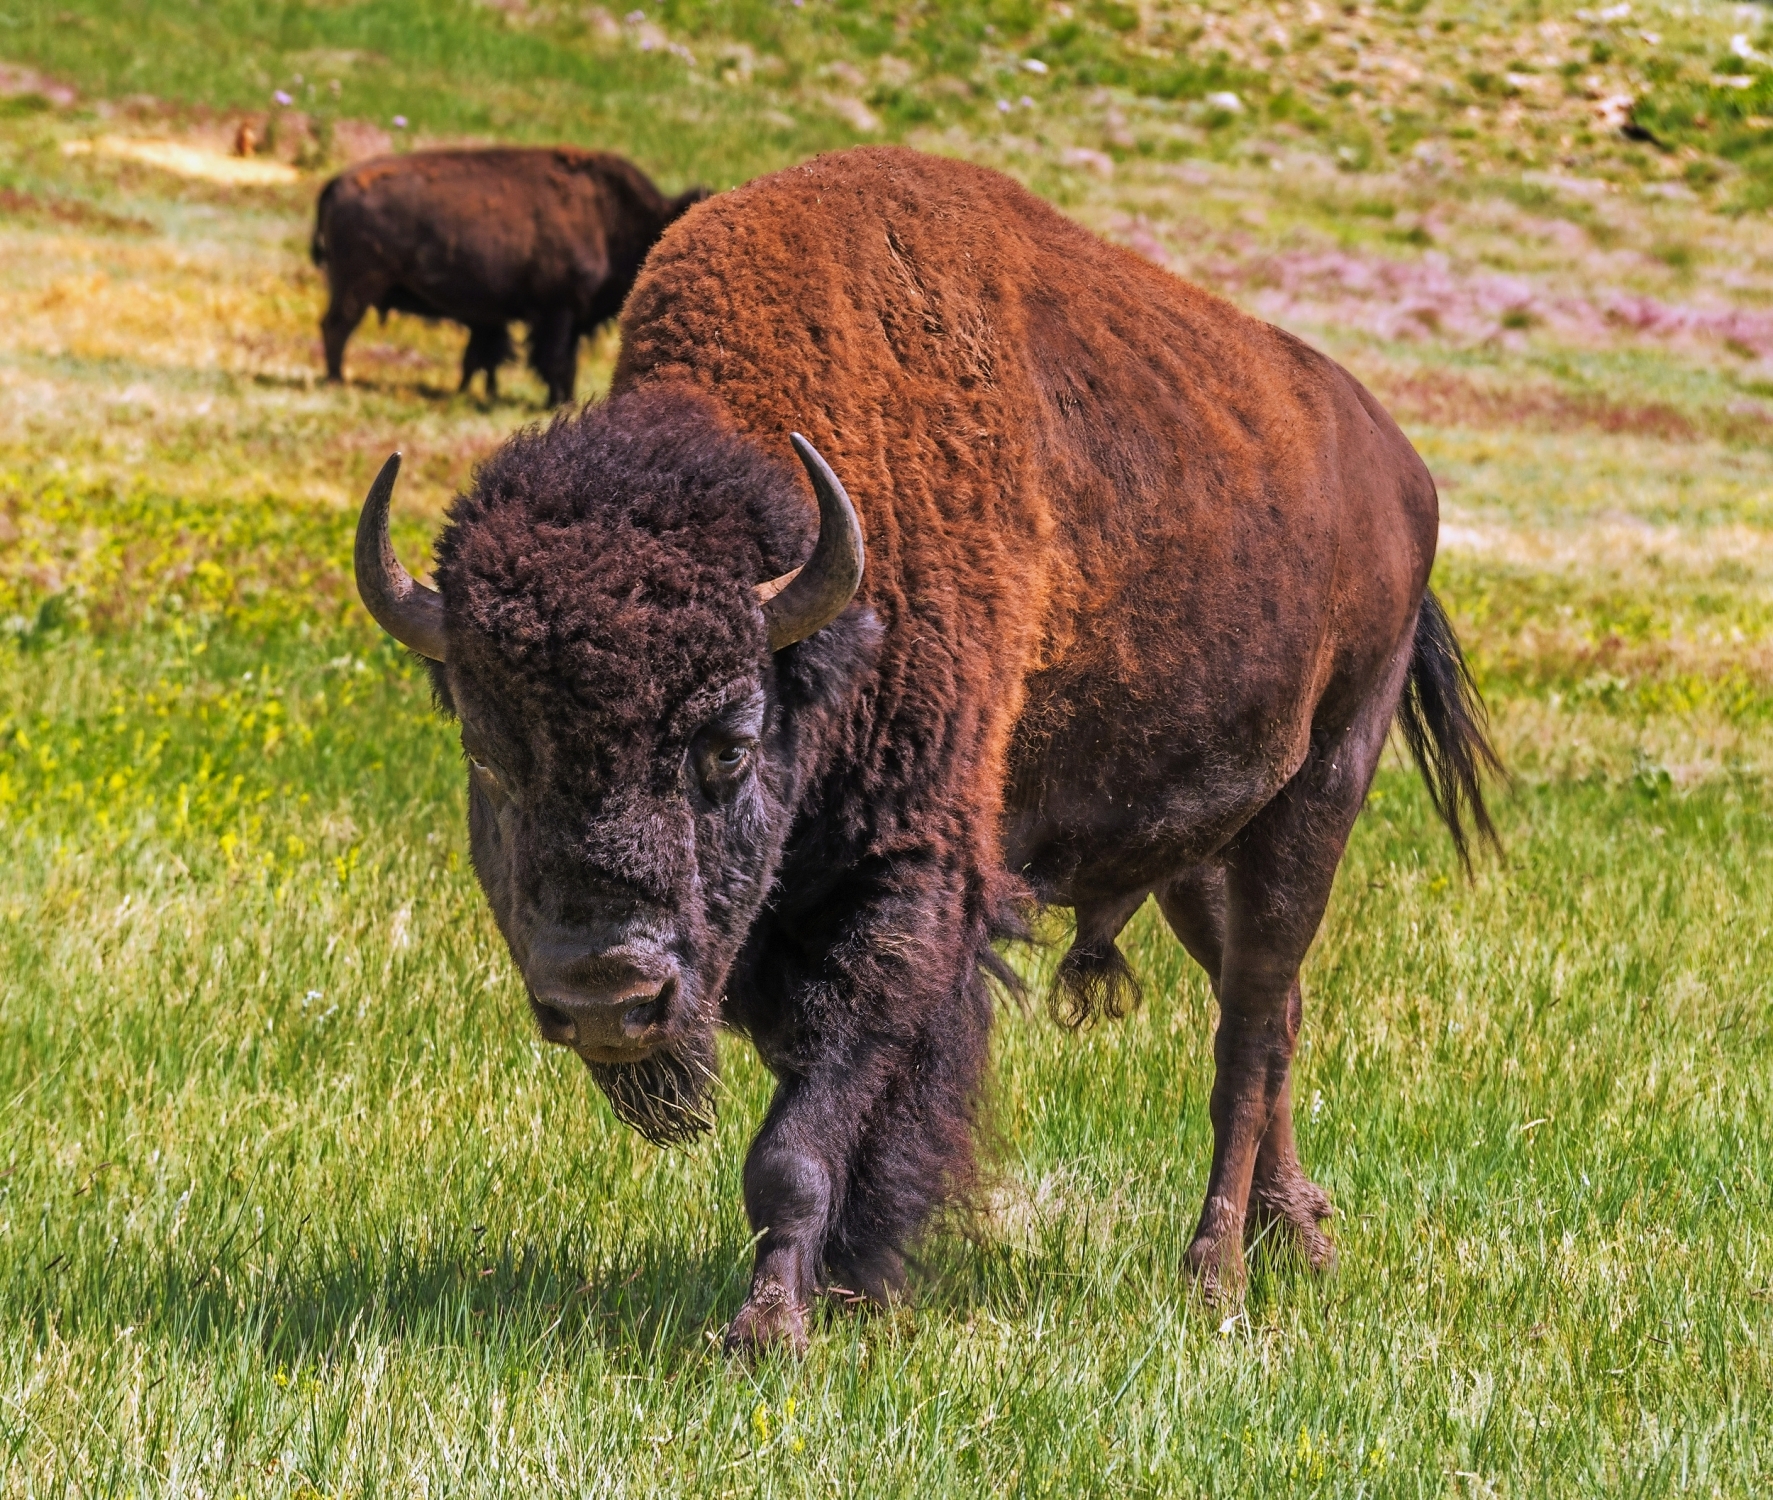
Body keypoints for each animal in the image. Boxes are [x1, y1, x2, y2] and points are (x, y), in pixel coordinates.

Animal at [312, 148, 706, 404]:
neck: (609, 216)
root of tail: (337, 182)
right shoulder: (558, 311)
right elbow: (554, 358)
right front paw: (558, 402)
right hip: (358, 286)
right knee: (336, 326)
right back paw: (336, 380)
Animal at [355, 147, 1500, 1353]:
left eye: (728, 743)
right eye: (489, 754)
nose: (608, 994)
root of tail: (1402, 471)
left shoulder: (907, 888)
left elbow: (799, 1144)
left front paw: (771, 1328)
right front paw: (852, 1291)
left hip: (1321, 790)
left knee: (1249, 1033)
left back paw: (1215, 1277)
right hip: (1194, 851)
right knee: (1270, 1005)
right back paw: (1301, 1240)